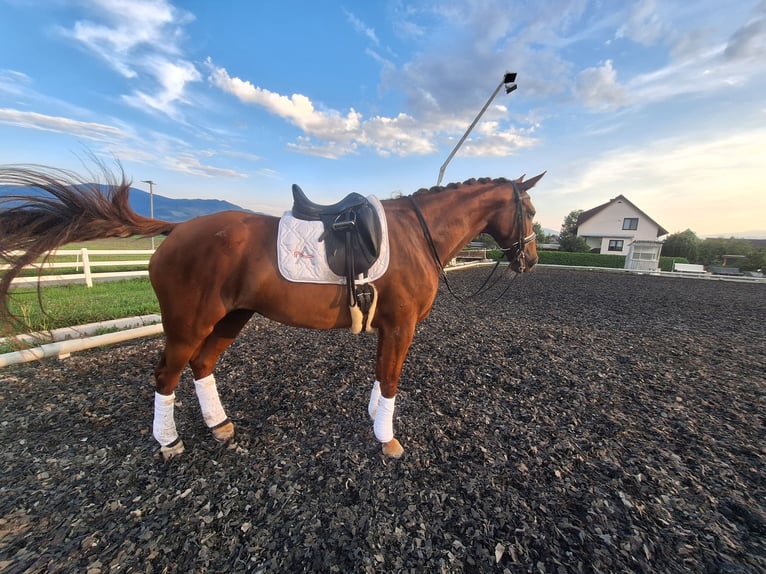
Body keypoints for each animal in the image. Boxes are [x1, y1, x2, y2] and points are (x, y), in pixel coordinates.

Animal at [0, 165, 544, 460]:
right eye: (533, 212)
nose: (532, 260)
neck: (417, 234)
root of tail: (176, 230)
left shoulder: (389, 327)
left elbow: (380, 378)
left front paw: (374, 420)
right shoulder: (401, 326)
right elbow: (390, 381)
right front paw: (386, 438)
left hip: (231, 317)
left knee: (202, 365)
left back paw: (219, 426)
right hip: (188, 324)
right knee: (166, 375)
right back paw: (169, 442)